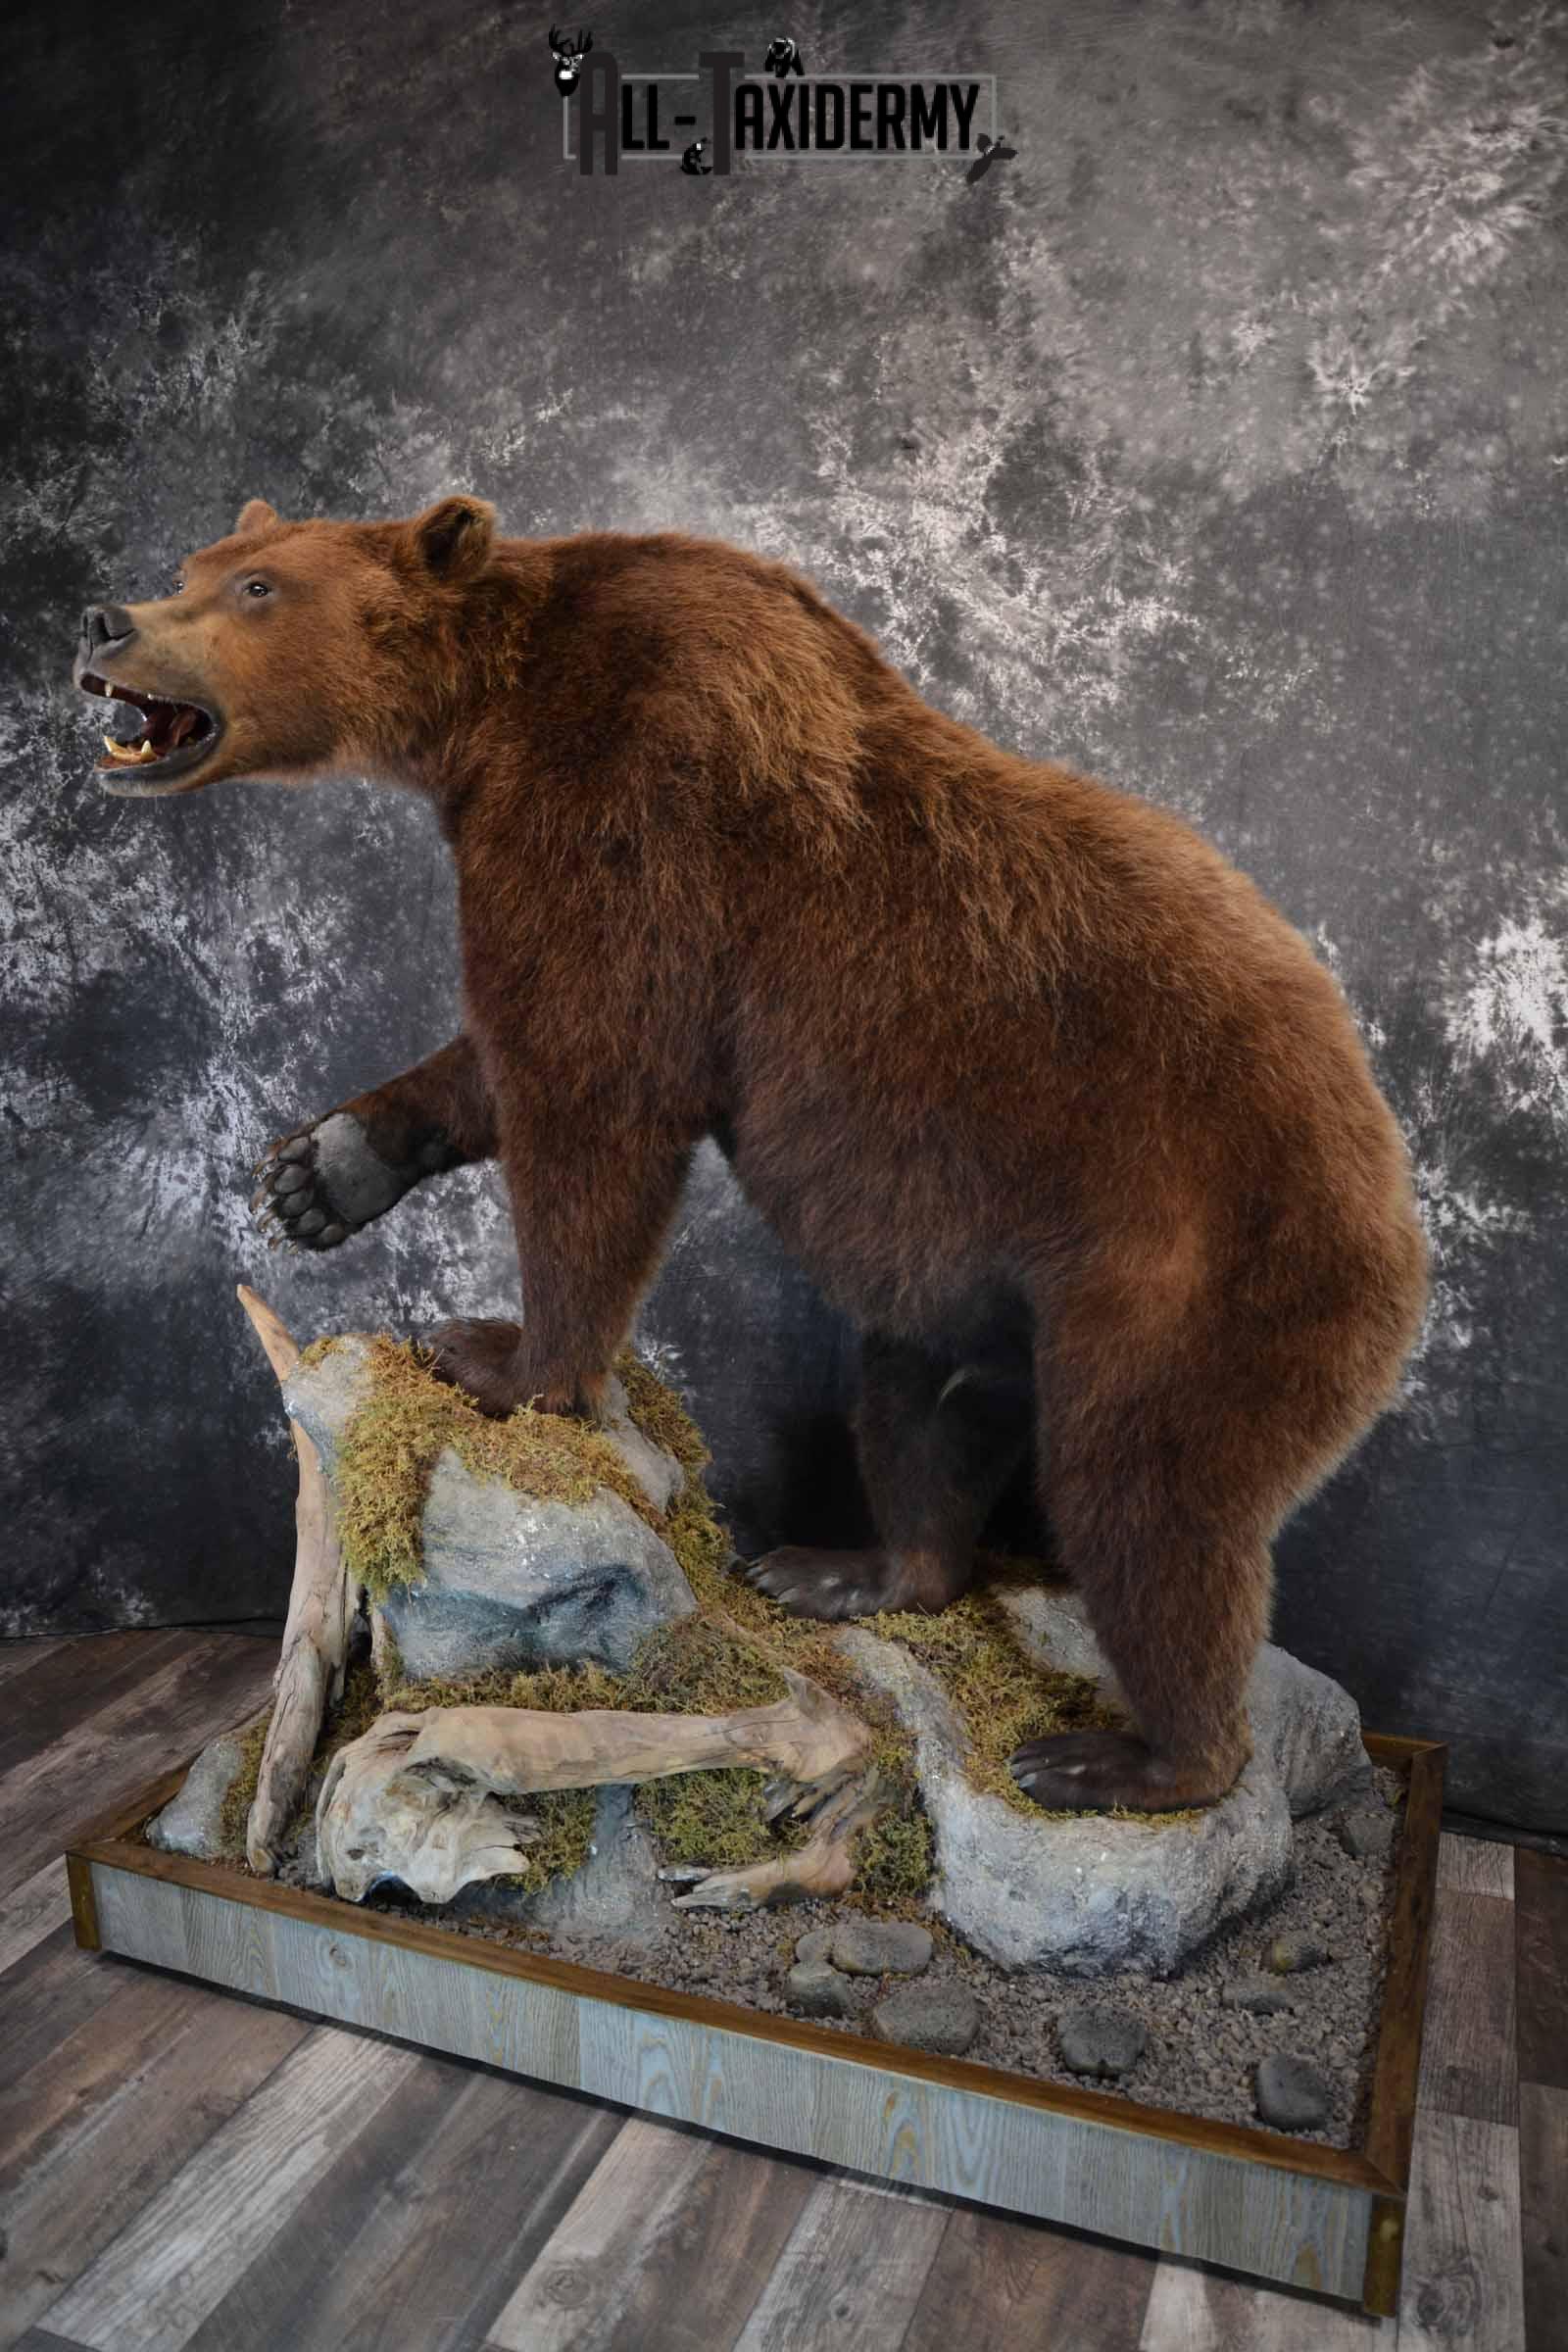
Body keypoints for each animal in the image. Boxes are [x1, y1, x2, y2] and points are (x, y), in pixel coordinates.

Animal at [73, 494, 1429, 1811]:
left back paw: (1131, 1757)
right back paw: (849, 1570)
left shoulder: (625, 803)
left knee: (1145, 1502)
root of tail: (1395, 1215)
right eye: (198, 561)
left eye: (258, 586)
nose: (104, 617)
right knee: (920, 1407)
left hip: (1197, 1266)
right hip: (976, 1281)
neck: (481, 713)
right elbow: (501, 1059)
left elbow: (590, 1085)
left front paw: (504, 1358)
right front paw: (320, 1171)